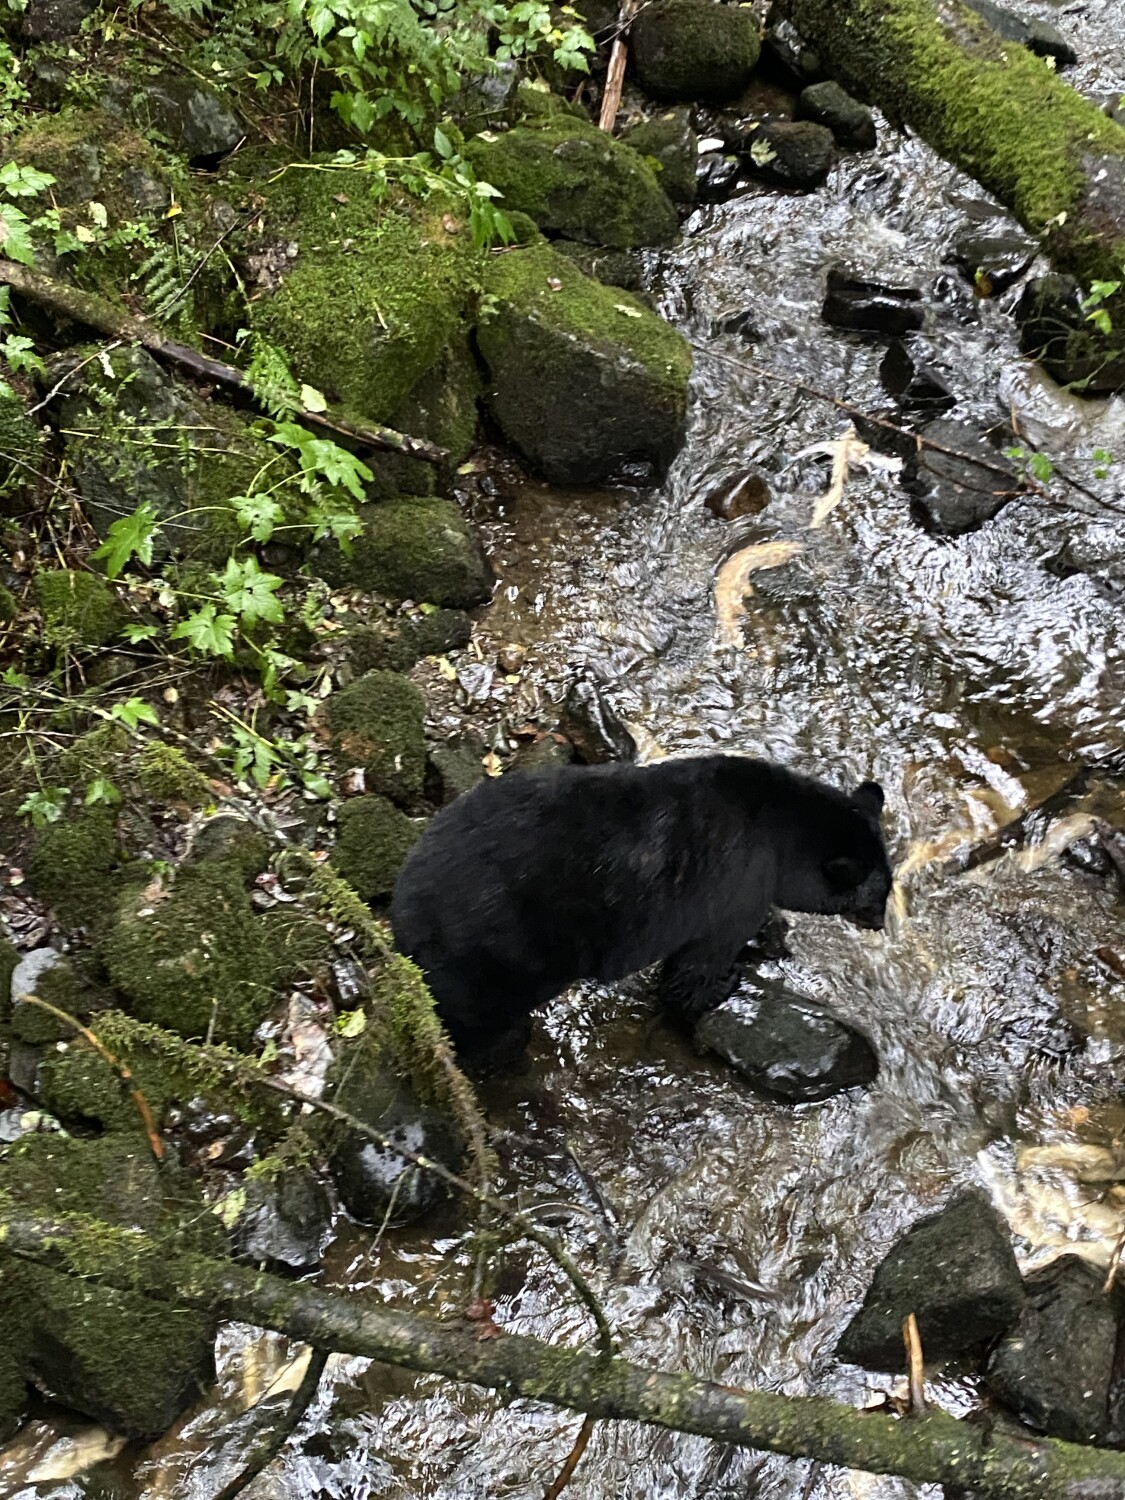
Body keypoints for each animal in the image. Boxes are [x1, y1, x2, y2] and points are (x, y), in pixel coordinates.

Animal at [390, 755, 892, 1058]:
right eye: (879, 895)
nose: (882, 923)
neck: (782, 830)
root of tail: (404, 907)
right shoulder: (736, 885)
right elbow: (698, 961)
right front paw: (722, 983)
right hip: (494, 958)